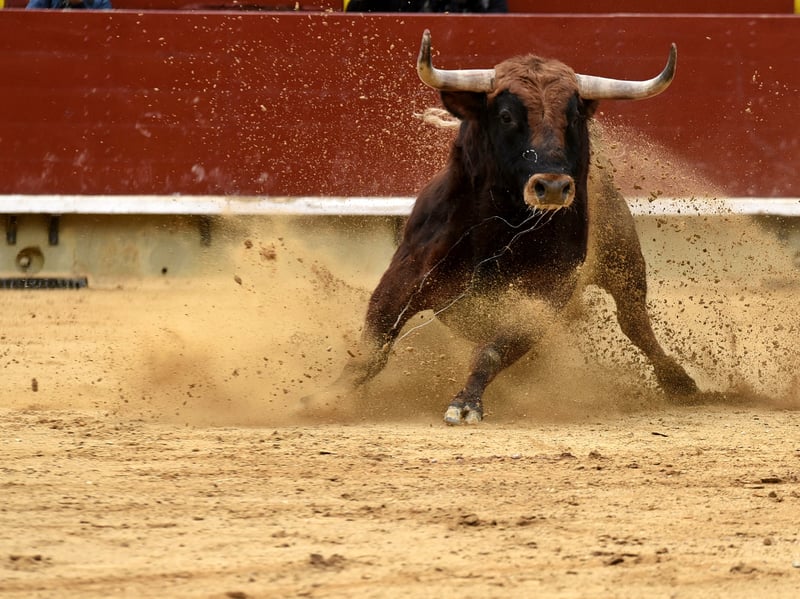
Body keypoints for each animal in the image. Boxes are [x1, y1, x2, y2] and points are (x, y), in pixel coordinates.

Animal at [307, 30, 698, 424]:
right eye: (507, 116)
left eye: (572, 117)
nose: (552, 186)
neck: (501, 225)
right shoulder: (408, 270)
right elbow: (375, 341)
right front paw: (329, 397)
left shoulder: (545, 294)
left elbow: (493, 349)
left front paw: (466, 403)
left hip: (624, 262)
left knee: (635, 322)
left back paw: (679, 382)